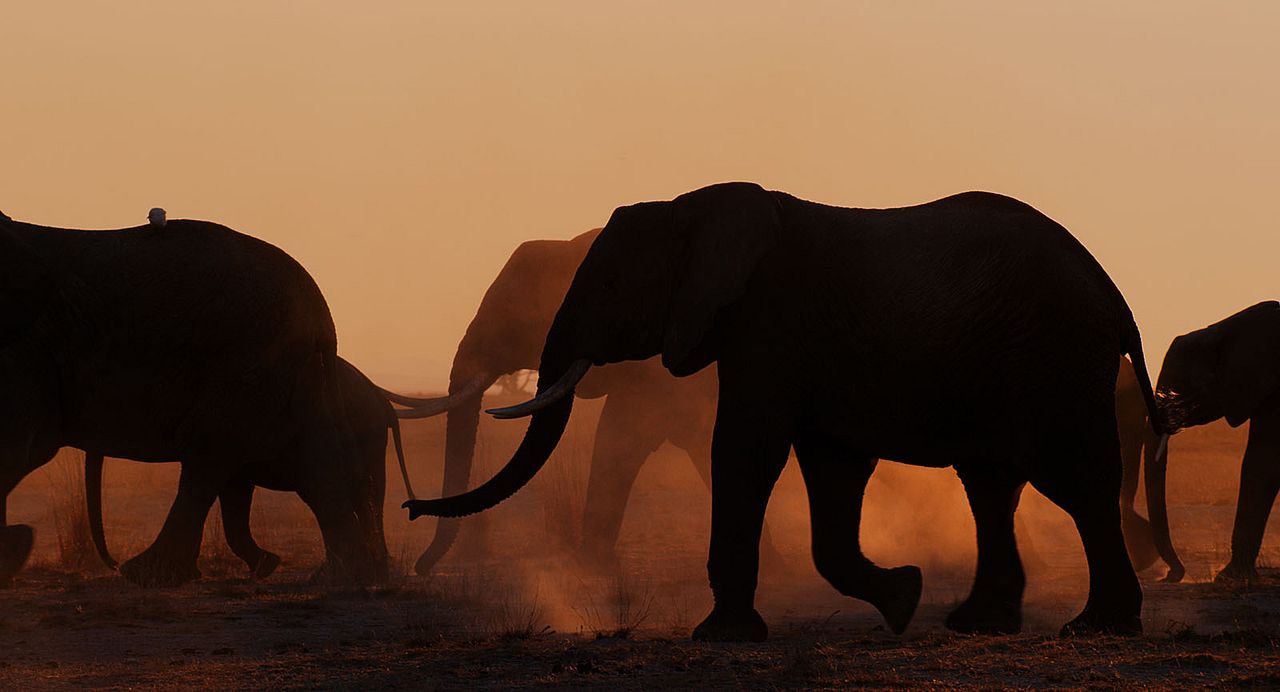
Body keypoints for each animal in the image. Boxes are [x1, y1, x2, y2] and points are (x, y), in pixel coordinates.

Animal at [0, 211, 376, 586]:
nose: (110, 562)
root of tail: (321, 310)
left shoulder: (28, 349)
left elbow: (23, 448)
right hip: (291, 370)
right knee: (313, 460)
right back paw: (335, 575)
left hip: (249, 361)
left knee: (211, 456)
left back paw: (148, 574)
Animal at [83, 356, 409, 582]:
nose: (114, 563)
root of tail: (382, 402)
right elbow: (229, 489)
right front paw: (262, 567)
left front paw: (264, 566)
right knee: (362, 496)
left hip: (366, 434)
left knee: (359, 496)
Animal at [1144, 301, 1280, 584]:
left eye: (1176, 390)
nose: (1170, 576)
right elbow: (1263, 459)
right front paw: (1232, 577)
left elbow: (1262, 463)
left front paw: (1228, 578)